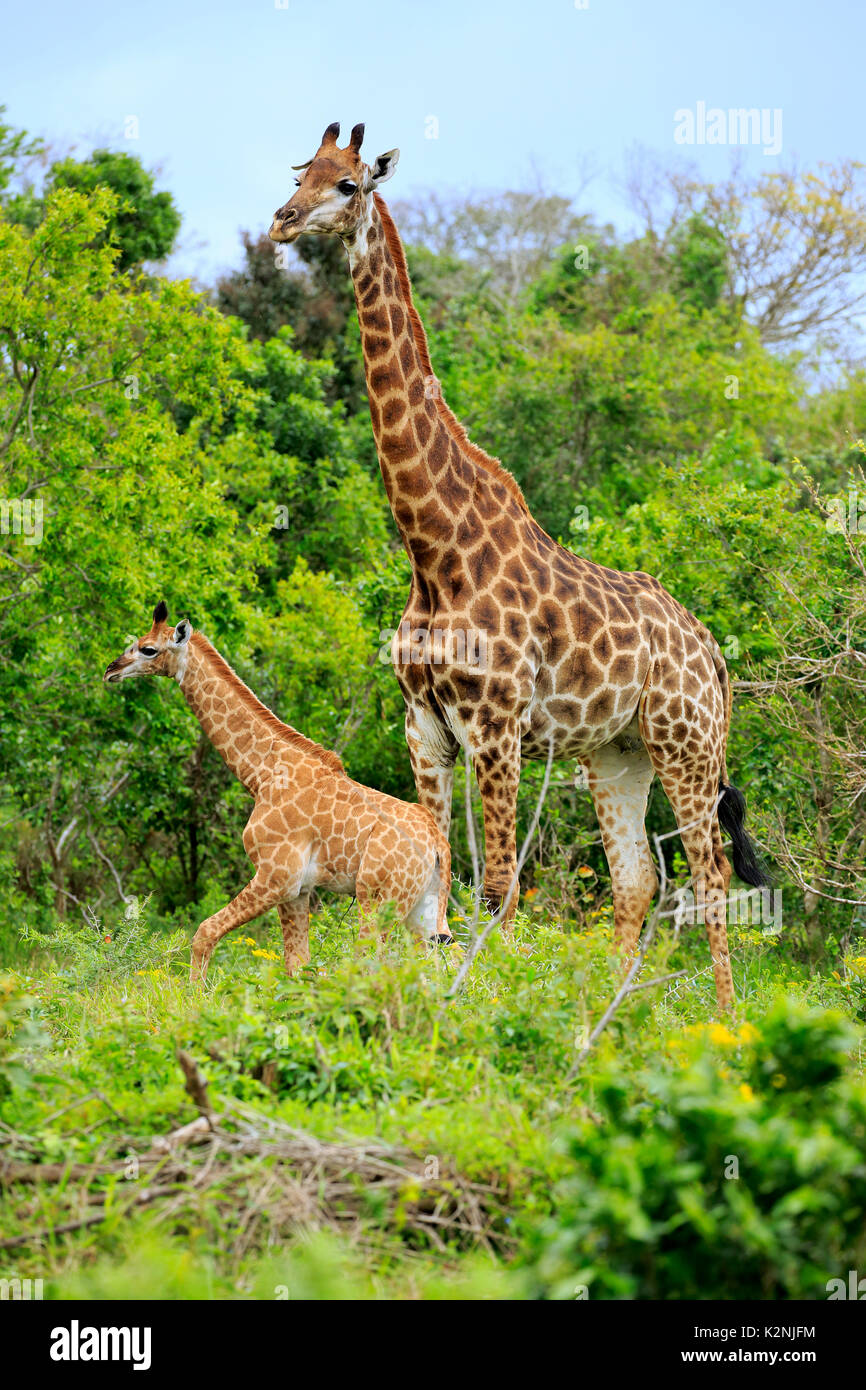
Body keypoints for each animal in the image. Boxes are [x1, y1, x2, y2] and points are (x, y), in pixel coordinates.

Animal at [104, 603, 452, 982]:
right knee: (439, 967)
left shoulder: (277, 876)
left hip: (377, 898)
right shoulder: (299, 890)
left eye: (148, 649)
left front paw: (194, 994)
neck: (262, 774)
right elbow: (298, 965)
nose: (111, 670)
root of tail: (438, 844)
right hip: (422, 907)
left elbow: (205, 932)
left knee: (372, 964)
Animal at [268, 123, 769, 1010]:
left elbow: (497, 886)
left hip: (687, 745)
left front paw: (487, 1002)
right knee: (637, 879)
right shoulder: (425, 728)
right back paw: (608, 1011)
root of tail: (713, 653)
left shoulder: (496, 728)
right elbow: (438, 869)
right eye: (300, 172)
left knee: (708, 876)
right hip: (618, 753)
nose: (282, 221)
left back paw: (723, 1018)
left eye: (349, 185)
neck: (434, 550)